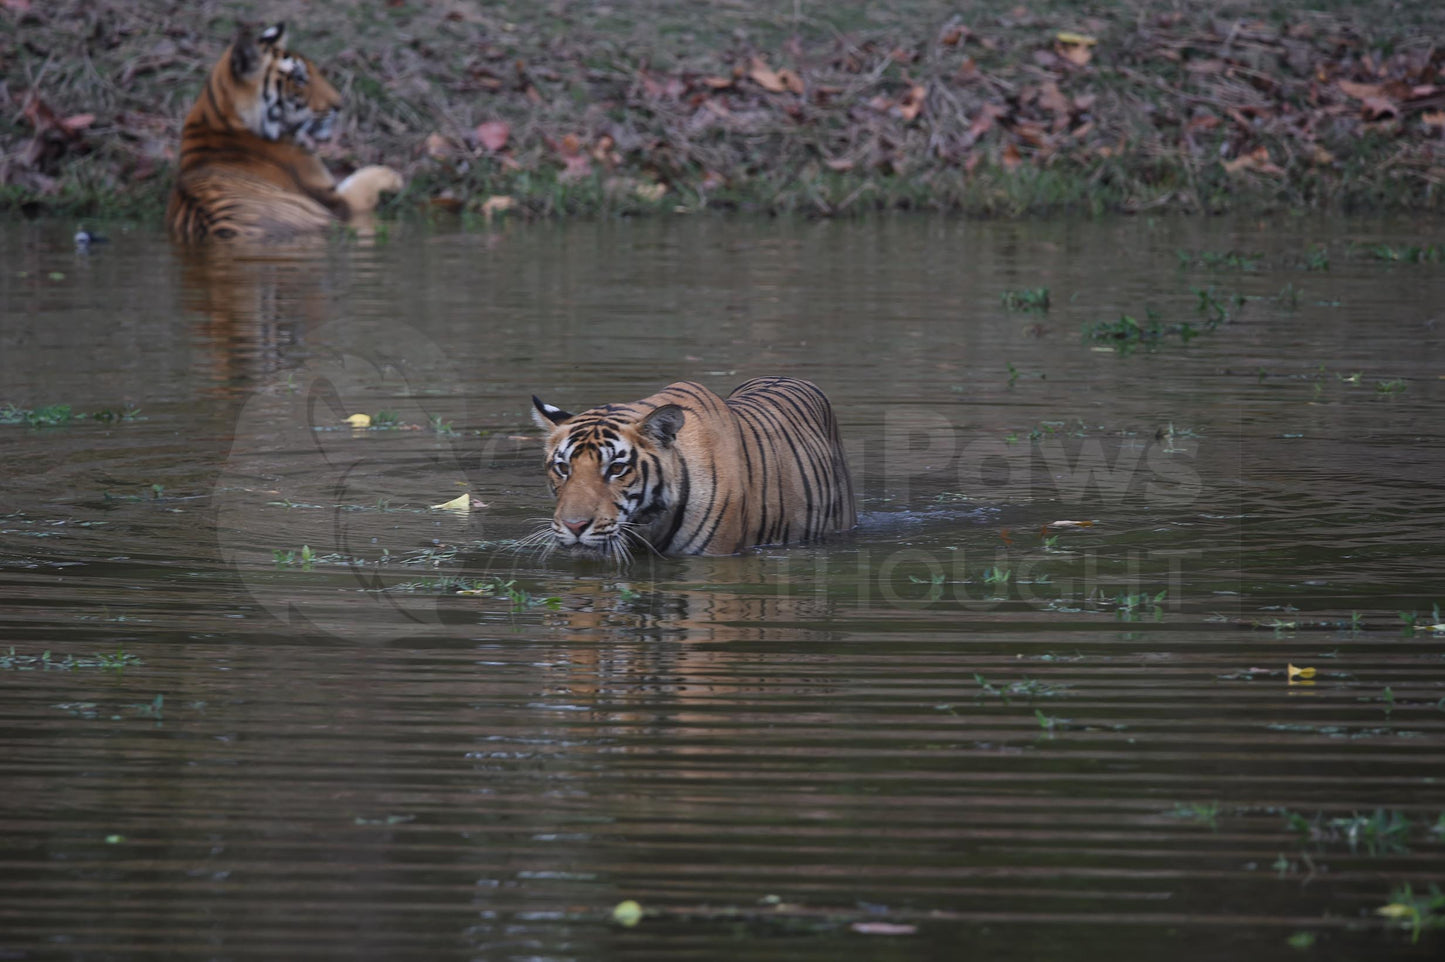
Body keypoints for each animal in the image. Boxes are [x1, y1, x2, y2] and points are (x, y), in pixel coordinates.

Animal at [170, 22, 407, 241]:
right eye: (300, 78)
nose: (339, 105)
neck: (220, 117)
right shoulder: (337, 201)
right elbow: (362, 180)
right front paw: (393, 176)